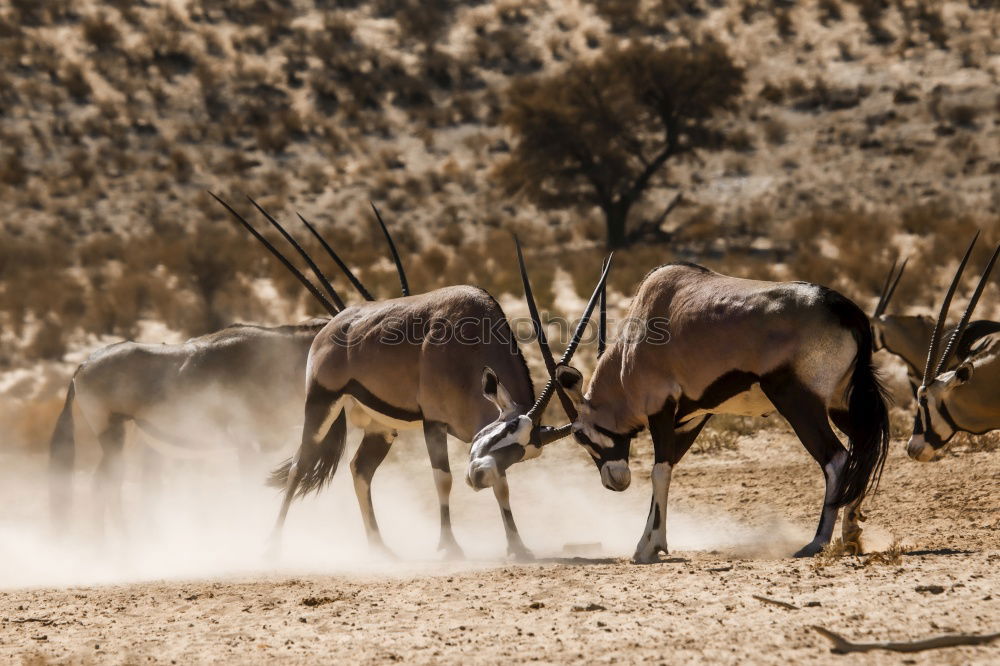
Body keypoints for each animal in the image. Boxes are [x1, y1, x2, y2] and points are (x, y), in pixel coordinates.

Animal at [468, 256, 892, 556]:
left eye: (580, 436)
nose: (615, 481)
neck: (632, 352)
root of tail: (844, 309)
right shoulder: (693, 416)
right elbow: (669, 467)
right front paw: (652, 542)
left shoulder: (662, 409)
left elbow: (659, 471)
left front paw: (648, 547)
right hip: (841, 404)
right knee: (862, 449)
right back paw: (851, 533)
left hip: (798, 402)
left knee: (836, 458)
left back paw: (817, 541)